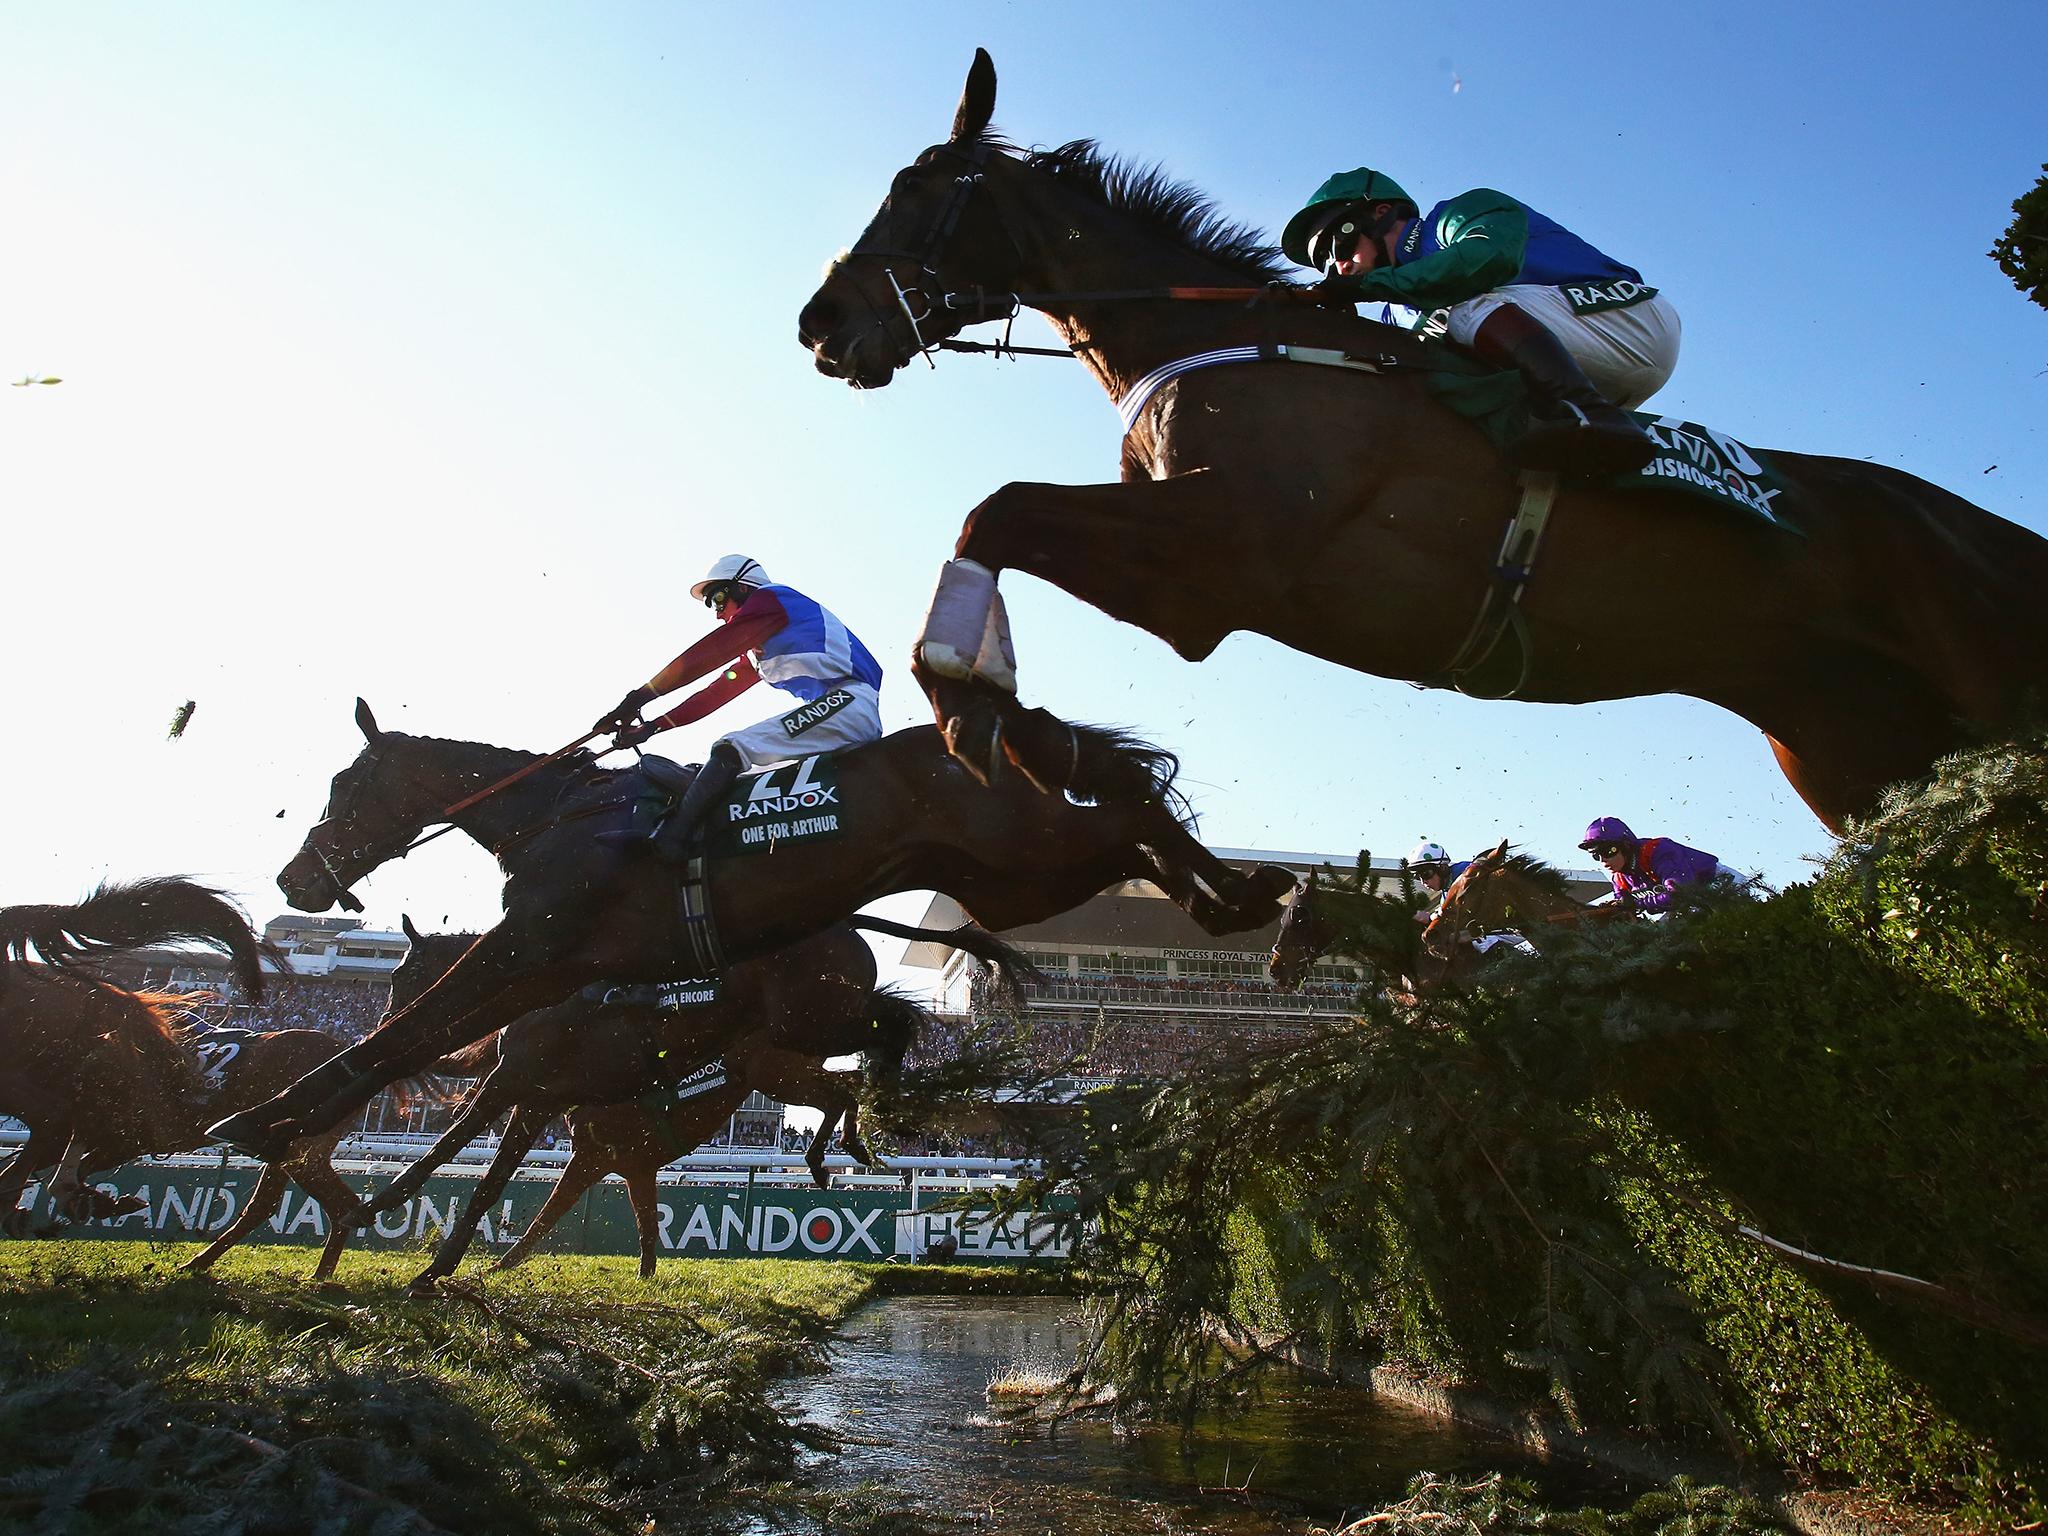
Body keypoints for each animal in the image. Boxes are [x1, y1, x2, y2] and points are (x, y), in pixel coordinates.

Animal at [0, 879, 366, 1259]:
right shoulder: (112, 1131)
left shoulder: (119, 1132)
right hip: (298, 1152)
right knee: (307, 1204)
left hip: (301, 1151)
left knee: (320, 1204)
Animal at [208, 701, 1294, 1162]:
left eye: (347, 786)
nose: (295, 874)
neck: (558, 814)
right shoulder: (546, 963)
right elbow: (419, 1042)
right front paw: (286, 1120)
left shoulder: (525, 945)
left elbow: (407, 1031)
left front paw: (259, 1118)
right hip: (1009, 878)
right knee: (1122, 822)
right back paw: (1236, 900)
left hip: (1022, 853)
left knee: (1125, 813)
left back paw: (1256, 900)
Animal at [314, 916, 1025, 1290]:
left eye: (405, 973)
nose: (383, 1027)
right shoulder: (546, 1109)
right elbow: (514, 1190)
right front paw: (454, 1263)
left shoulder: (514, 1087)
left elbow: (446, 1156)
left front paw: (381, 1225)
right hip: (793, 1047)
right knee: (850, 1075)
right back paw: (843, 1144)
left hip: (806, 1026)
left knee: (882, 1037)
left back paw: (859, 1128)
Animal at [797, 49, 2048, 832]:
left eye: (915, 189)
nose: (819, 323)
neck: (1228, 343)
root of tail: (1985, 528)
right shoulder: (1191, 583)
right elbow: (994, 522)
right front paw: (1060, 749)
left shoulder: (1226, 548)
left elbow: (994, 507)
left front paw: (989, 721)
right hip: (1848, 749)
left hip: (1982, 684)